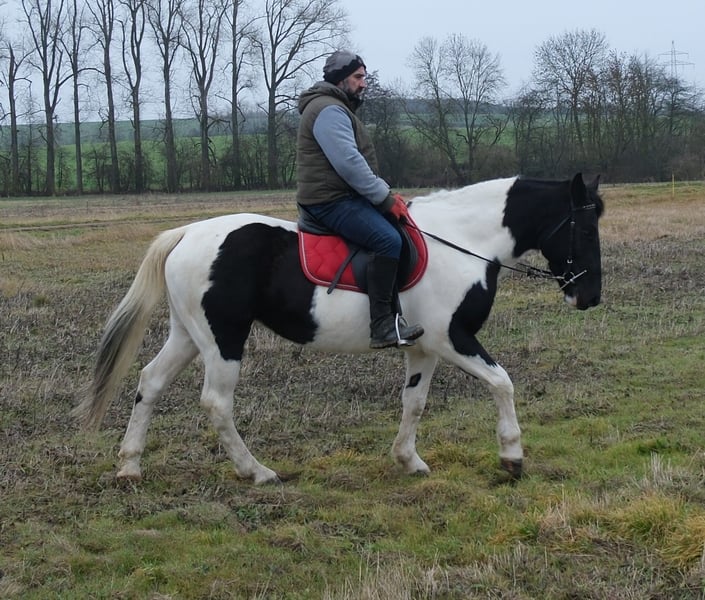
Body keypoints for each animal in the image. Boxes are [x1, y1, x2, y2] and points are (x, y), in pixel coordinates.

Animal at [73, 173, 603, 485]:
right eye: (583, 226)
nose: (590, 296)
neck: (462, 241)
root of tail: (186, 233)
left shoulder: (423, 348)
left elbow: (414, 402)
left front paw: (408, 460)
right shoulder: (451, 339)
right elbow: (502, 382)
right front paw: (512, 457)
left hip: (188, 335)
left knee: (150, 382)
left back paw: (130, 465)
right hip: (223, 339)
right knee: (216, 403)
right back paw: (257, 471)